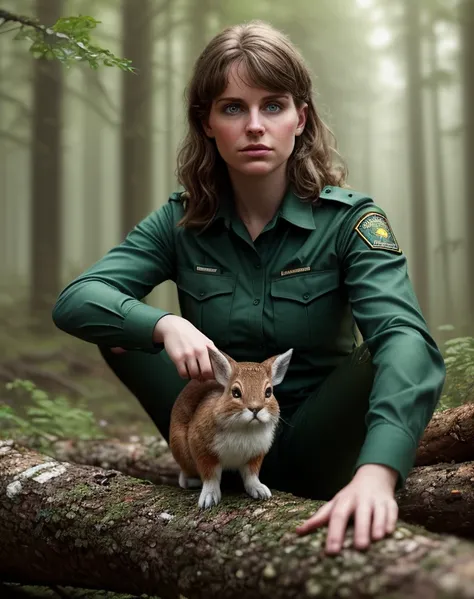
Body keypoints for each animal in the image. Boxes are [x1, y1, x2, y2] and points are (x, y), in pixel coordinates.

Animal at [168, 346, 290, 510]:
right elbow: (210, 476)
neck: (244, 427)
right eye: (236, 392)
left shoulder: (255, 456)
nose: (255, 409)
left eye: (268, 392)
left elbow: (251, 476)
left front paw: (261, 491)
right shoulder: (203, 451)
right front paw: (208, 500)